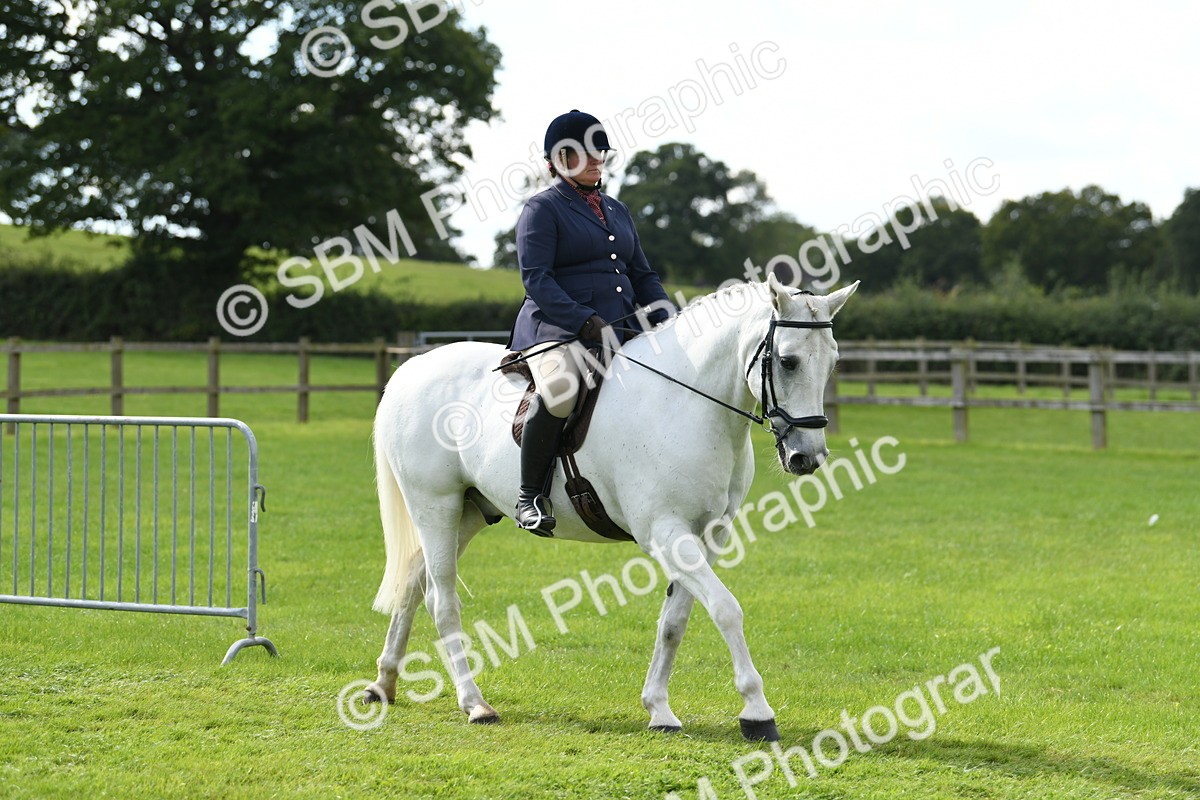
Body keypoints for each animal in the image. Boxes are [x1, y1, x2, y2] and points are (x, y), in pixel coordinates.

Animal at [364, 274, 859, 741]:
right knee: (442, 600)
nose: (808, 457)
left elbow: (675, 620)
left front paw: (659, 709)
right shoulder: (665, 532)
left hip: (468, 512)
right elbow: (726, 609)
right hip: (435, 505)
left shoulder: (708, 534)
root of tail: (413, 368)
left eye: (833, 362)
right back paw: (474, 704)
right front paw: (757, 712)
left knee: (413, 582)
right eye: (789, 361)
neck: (686, 404)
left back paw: (383, 683)